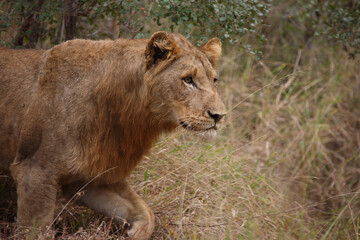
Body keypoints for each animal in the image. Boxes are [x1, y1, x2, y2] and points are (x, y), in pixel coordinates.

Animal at [0, 31, 225, 239]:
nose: (219, 115)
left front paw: (135, 232)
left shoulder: (90, 179)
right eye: (188, 80)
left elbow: (145, 213)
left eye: (214, 80)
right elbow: (35, 231)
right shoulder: (35, 170)